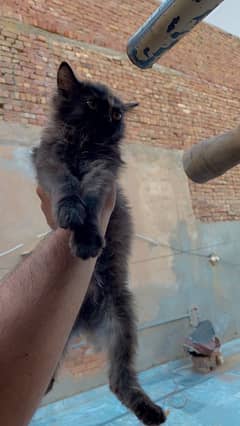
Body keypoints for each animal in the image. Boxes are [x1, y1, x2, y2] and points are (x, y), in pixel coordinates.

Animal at [32, 61, 167, 424]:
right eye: (92, 104)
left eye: (117, 113)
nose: (110, 118)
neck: (83, 144)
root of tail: (84, 317)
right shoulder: (50, 161)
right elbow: (66, 187)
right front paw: (69, 213)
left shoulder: (102, 173)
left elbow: (90, 202)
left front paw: (88, 240)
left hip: (122, 322)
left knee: (119, 381)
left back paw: (151, 412)